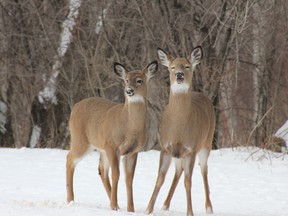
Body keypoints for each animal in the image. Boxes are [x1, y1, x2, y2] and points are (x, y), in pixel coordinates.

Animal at [66, 60, 158, 212]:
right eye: (126, 80)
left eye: (139, 80)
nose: (129, 90)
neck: (129, 127)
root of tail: (74, 108)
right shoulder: (112, 145)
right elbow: (116, 174)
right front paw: (114, 206)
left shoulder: (133, 151)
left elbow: (129, 178)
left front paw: (130, 209)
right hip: (81, 140)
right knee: (70, 159)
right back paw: (70, 200)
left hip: (100, 147)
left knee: (101, 170)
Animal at [145, 46, 215, 216]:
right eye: (172, 67)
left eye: (187, 66)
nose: (179, 75)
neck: (178, 127)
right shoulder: (166, 147)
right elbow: (160, 178)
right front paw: (148, 209)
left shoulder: (191, 149)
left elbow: (188, 182)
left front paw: (190, 213)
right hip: (177, 154)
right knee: (179, 170)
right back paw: (165, 205)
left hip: (206, 143)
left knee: (204, 170)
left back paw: (209, 207)